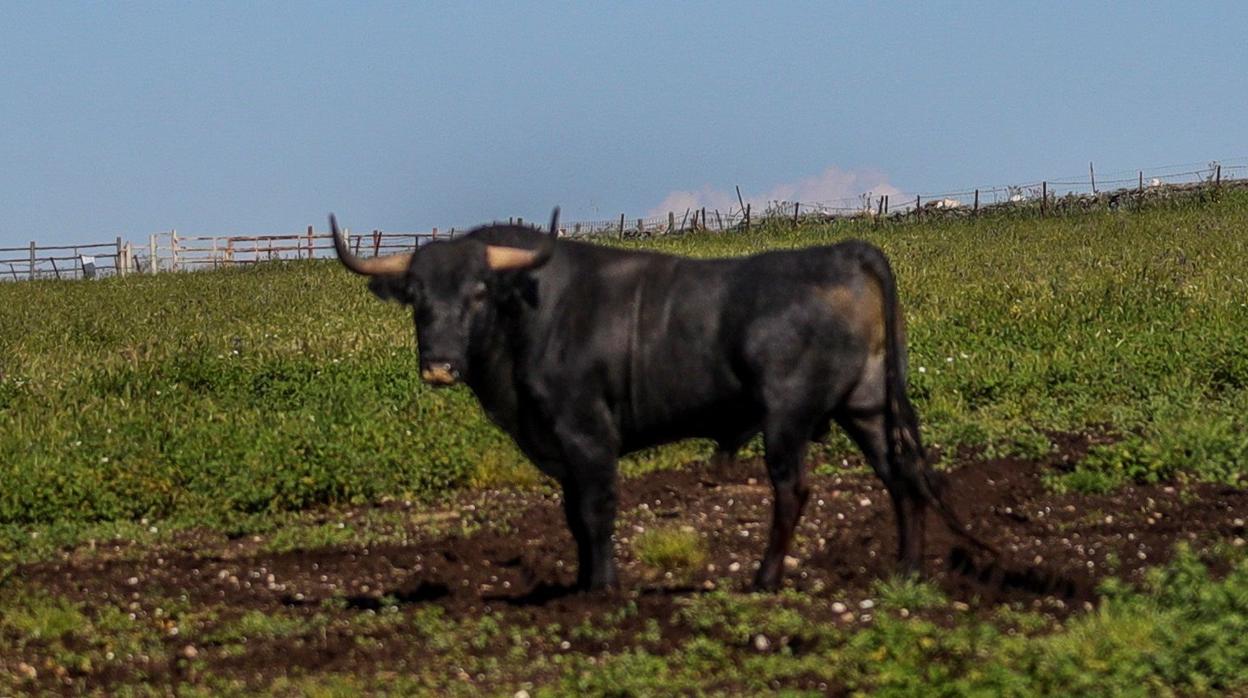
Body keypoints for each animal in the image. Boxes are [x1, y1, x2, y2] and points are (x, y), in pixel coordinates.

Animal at [326, 212, 988, 589]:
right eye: (416, 295)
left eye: (480, 291)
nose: (439, 365)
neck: (532, 313)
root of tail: (842, 249)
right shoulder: (559, 448)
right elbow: (572, 516)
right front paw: (580, 584)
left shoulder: (588, 434)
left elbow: (596, 511)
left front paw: (601, 591)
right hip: (867, 406)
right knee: (901, 477)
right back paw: (905, 572)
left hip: (788, 417)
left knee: (793, 490)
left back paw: (764, 578)